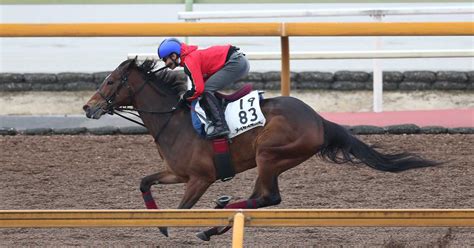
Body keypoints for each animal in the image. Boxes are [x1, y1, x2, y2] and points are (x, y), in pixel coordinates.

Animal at [82, 58, 440, 240]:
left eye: (111, 81)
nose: (88, 107)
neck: (174, 119)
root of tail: (319, 120)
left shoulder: (201, 178)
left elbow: (182, 210)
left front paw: (168, 224)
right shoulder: (177, 173)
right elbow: (144, 182)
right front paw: (159, 222)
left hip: (269, 154)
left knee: (268, 198)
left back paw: (220, 212)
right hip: (271, 161)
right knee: (260, 198)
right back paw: (215, 224)